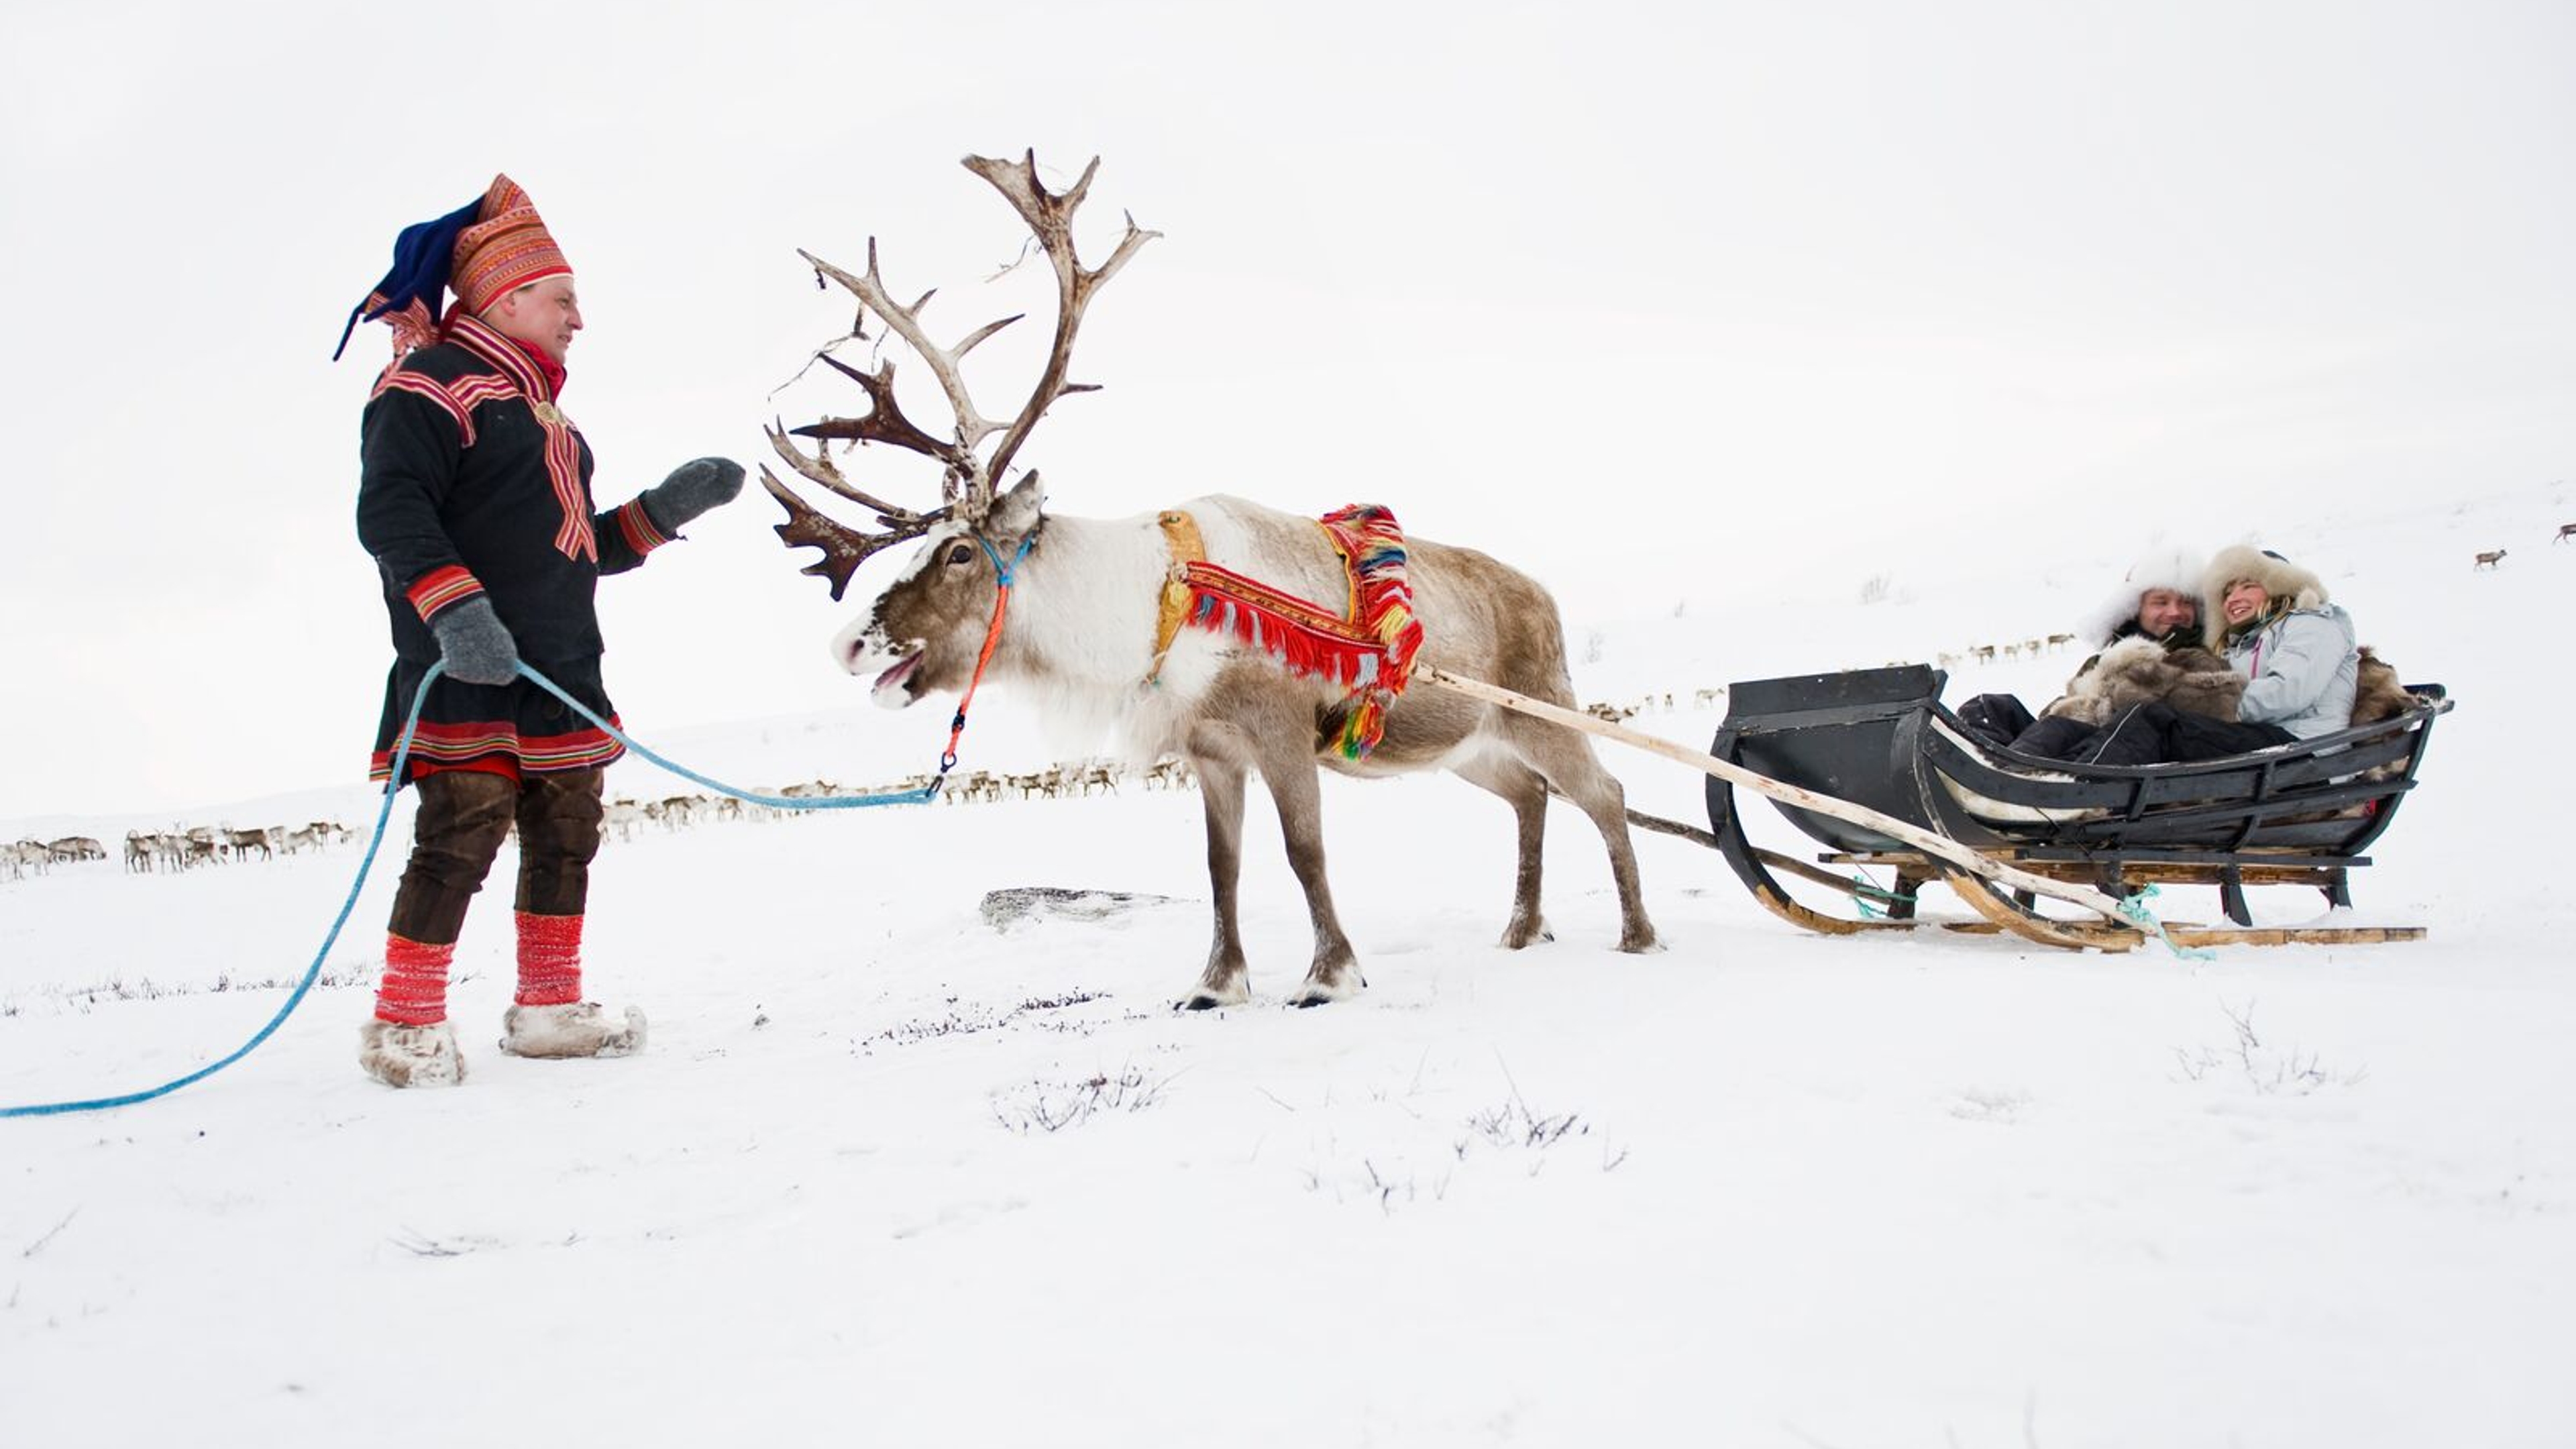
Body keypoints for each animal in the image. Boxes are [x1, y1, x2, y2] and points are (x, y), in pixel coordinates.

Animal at [760, 153, 1657, 1009]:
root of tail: (1542, 596)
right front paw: (1216, 983)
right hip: (1470, 744)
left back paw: (1637, 934)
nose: (849, 645)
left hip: (1542, 707)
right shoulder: (1212, 750)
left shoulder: (1281, 732)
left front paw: (1329, 975)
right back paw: (1522, 929)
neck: (1151, 607)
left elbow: (1304, 852)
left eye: (959, 553)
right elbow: (1220, 867)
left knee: (1606, 792)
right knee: (1531, 797)